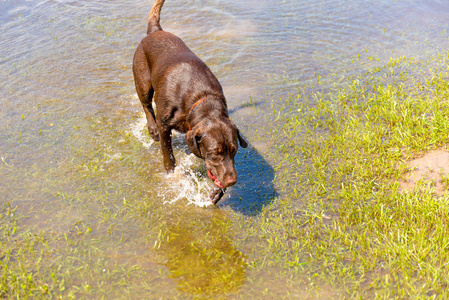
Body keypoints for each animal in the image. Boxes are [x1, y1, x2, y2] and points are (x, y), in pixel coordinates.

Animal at [131, 0, 247, 203]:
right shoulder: (164, 124)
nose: (232, 181)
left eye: (234, 150)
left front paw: (218, 192)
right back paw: (151, 129)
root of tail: (155, 31)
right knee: (146, 105)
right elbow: (168, 154)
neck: (200, 99)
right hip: (142, 82)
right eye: (214, 153)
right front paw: (172, 175)